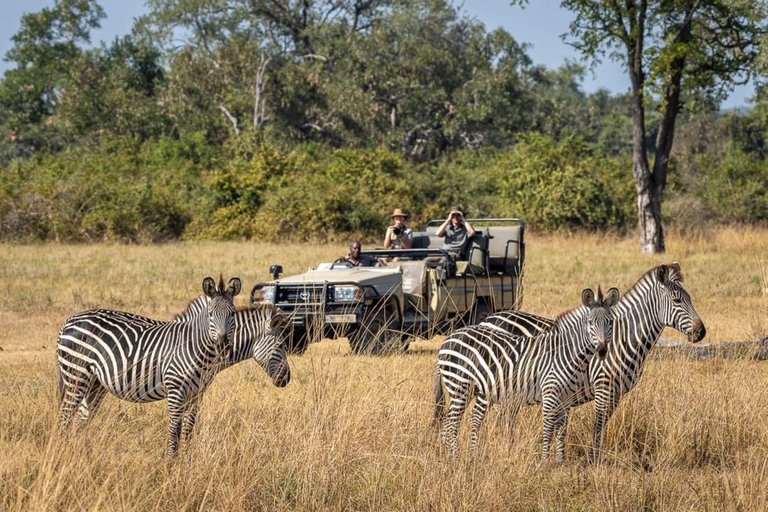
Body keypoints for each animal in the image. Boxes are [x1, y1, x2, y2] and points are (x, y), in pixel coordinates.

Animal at [57, 276, 240, 456]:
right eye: (210, 314)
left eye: (232, 314)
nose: (222, 345)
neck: (193, 346)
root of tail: (69, 320)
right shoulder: (175, 390)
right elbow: (175, 429)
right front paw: (171, 461)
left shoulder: (196, 394)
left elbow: (188, 428)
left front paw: (186, 459)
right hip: (76, 374)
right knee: (65, 416)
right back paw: (63, 453)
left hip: (94, 382)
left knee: (81, 420)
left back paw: (81, 455)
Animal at [436, 286, 620, 462]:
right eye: (590, 323)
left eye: (610, 322)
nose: (602, 351)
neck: (567, 354)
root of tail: (448, 339)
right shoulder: (550, 393)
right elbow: (548, 427)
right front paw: (544, 461)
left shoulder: (565, 399)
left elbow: (561, 430)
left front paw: (560, 462)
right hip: (460, 386)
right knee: (452, 422)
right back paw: (456, 458)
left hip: (473, 389)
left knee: (451, 420)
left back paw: (451, 456)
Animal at [484, 264, 704, 460]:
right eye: (677, 300)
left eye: (690, 299)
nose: (701, 332)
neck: (622, 339)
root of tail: (489, 318)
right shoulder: (603, 387)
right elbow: (598, 424)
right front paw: (593, 459)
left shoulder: (617, 392)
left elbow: (603, 424)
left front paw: (594, 456)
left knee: (505, 420)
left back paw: (508, 449)